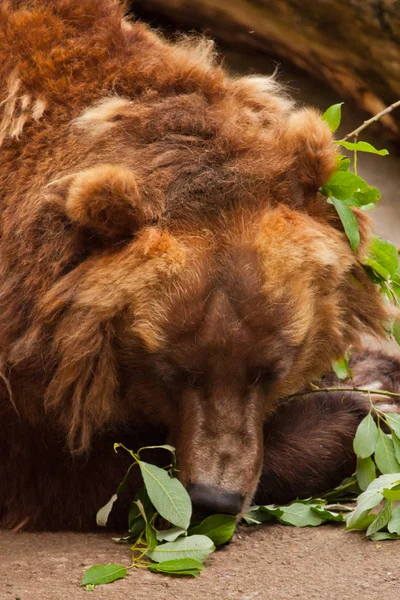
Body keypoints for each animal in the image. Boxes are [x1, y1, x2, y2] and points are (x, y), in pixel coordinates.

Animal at [0, 0, 396, 528]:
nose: (216, 497)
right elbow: (85, 469)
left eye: (270, 368)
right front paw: (351, 410)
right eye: (172, 369)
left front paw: (374, 374)